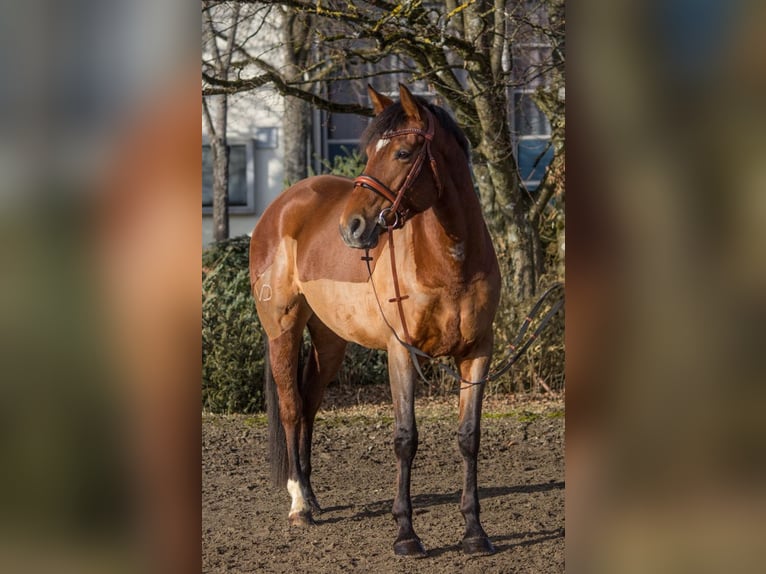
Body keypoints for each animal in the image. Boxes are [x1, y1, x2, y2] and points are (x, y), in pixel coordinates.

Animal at [250, 83, 504, 556]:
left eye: (403, 153)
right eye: (368, 152)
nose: (352, 227)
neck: (451, 260)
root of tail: (281, 206)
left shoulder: (478, 353)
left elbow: (469, 437)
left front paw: (474, 532)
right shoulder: (401, 353)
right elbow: (405, 439)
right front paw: (406, 534)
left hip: (330, 341)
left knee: (309, 403)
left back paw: (312, 496)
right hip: (283, 330)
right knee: (292, 408)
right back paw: (299, 505)